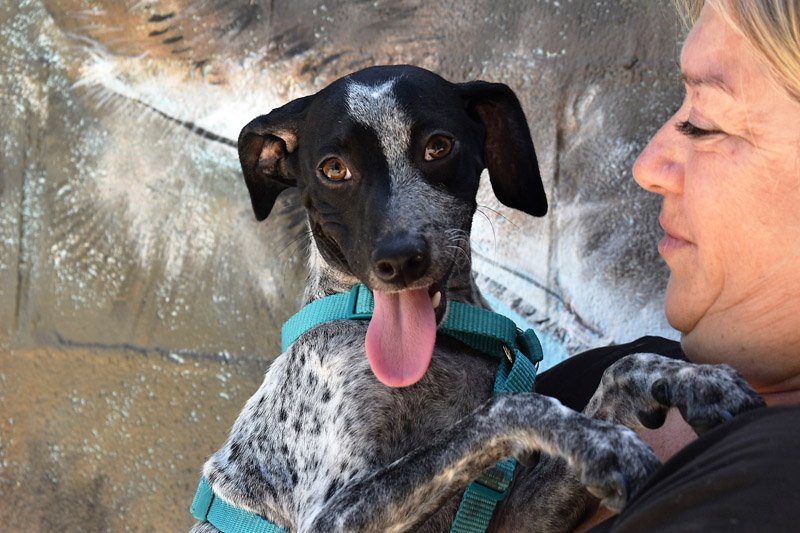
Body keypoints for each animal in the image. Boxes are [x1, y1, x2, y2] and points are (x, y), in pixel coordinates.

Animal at [192, 65, 764, 532]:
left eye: (438, 146)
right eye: (333, 169)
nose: (400, 260)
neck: (443, 352)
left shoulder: (514, 521)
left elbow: (620, 367)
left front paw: (692, 378)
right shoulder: (330, 514)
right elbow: (511, 406)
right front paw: (602, 441)